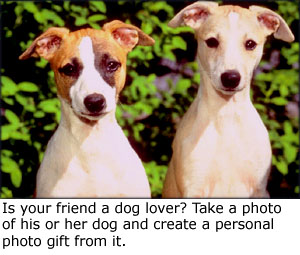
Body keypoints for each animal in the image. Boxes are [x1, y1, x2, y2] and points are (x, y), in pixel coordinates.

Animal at [163, 0, 294, 198]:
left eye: (250, 44)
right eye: (211, 41)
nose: (231, 78)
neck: (226, 117)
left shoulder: (259, 189)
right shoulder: (193, 187)